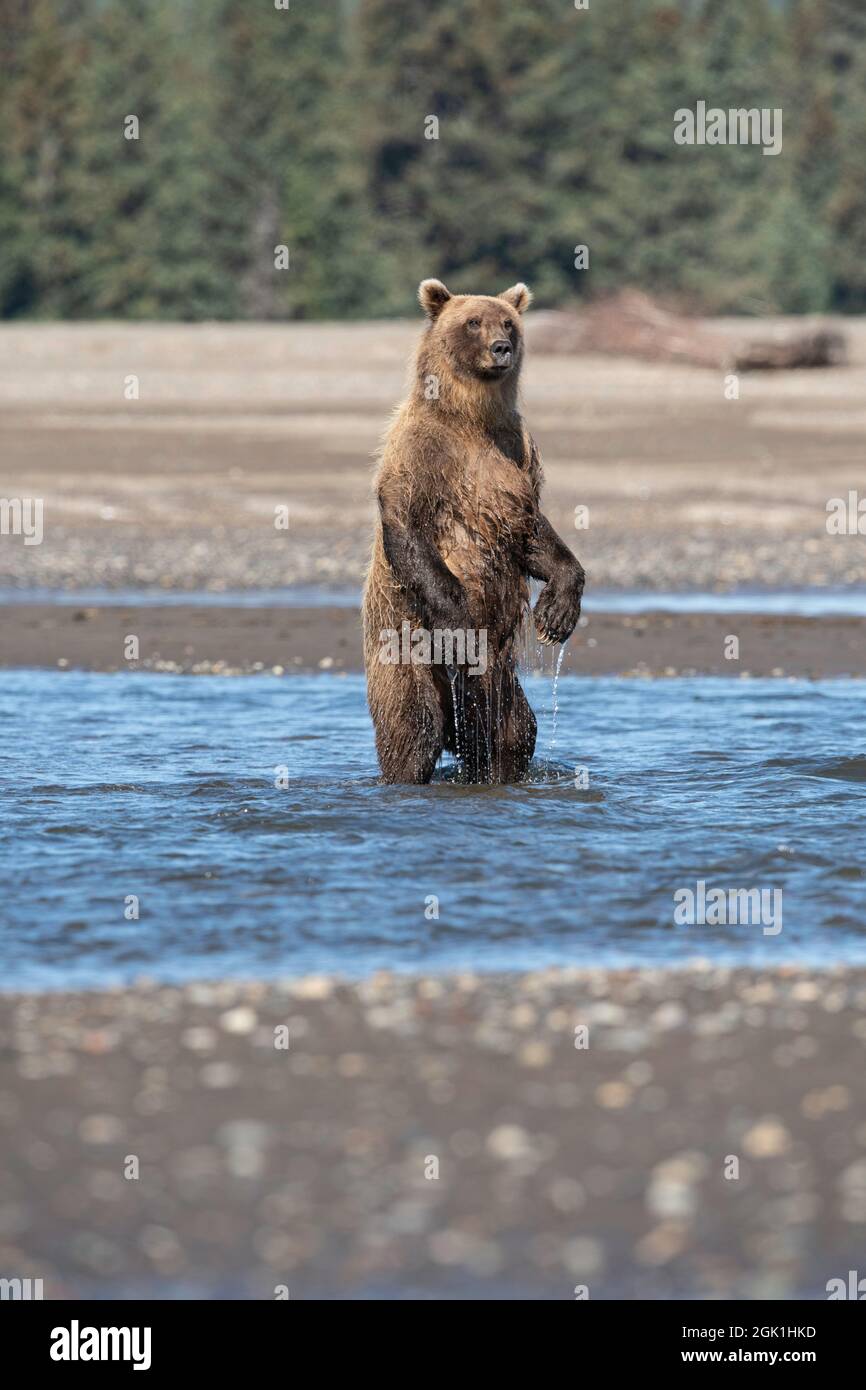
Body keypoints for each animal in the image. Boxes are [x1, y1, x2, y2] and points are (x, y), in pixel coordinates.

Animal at [362, 278, 585, 785]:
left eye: (508, 322)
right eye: (472, 322)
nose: (501, 347)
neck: (470, 415)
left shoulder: (515, 454)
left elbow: (532, 533)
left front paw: (556, 613)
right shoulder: (420, 452)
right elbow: (409, 526)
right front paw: (461, 624)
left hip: (499, 682)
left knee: (512, 731)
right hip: (404, 648)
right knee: (414, 728)